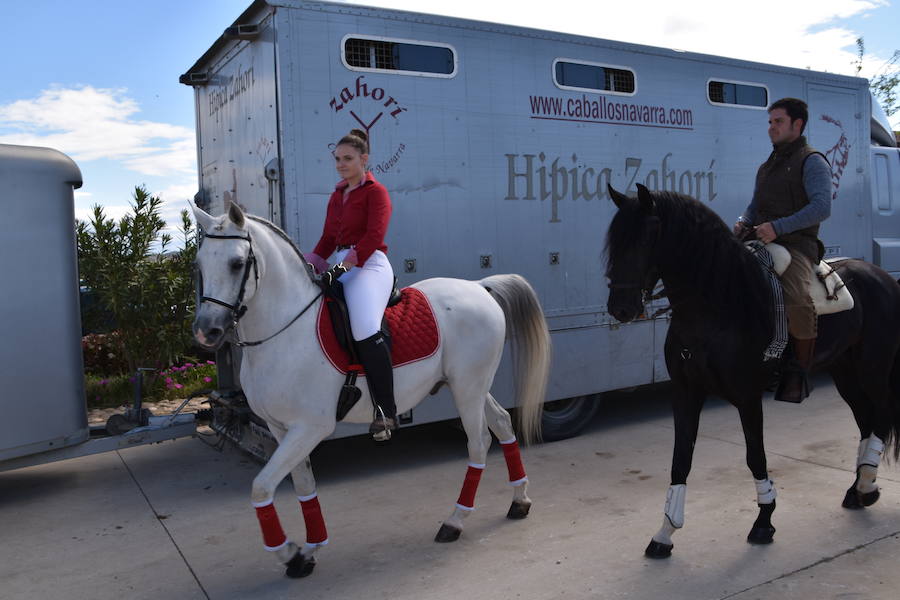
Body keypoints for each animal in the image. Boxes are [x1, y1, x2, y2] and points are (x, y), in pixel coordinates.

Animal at [192, 202, 548, 576]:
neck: (285, 331)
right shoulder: (281, 429)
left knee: (478, 443)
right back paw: (520, 500)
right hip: (471, 387)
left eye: (236, 263)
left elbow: (261, 487)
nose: (205, 331)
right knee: (503, 424)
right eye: (199, 264)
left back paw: (455, 521)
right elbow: (304, 484)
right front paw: (310, 550)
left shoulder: (310, 428)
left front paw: (288, 552)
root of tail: (479, 287)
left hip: (468, 389)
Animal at [604, 183, 900, 556]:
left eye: (645, 238)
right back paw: (859, 488)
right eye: (615, 241)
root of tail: (882, 277)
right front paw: (665, 532)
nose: (620, 308)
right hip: (844, 372)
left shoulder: (747, 396)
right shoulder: (686, 392)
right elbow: (681, 458)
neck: (717, 306)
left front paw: (763, 521)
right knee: (865, 419)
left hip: (873, 367)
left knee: (882, 414)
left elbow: (755, 456)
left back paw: (866, 486)